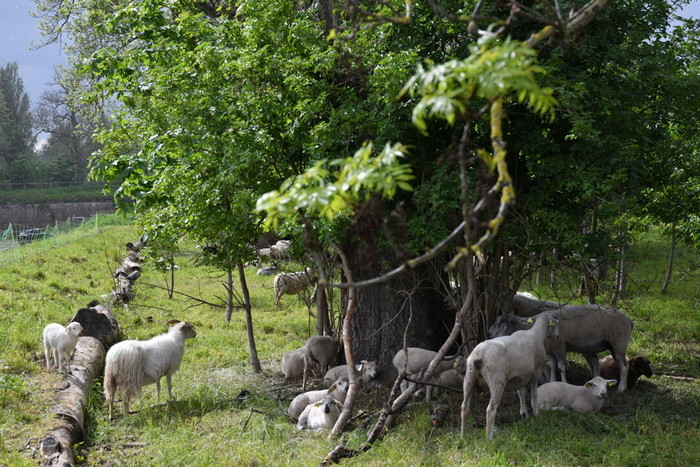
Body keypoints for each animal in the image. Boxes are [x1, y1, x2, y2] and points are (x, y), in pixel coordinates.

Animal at [486, 306, 636, 394]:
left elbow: (561, 367)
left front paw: (564, 383)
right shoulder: (550, 351)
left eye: (506, 322)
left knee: (624, 366)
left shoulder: (560, 347)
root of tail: (629, 319)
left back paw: (622, 388)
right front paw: (553, 381)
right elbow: (553, 366)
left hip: (619, 344)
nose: (488, 334)